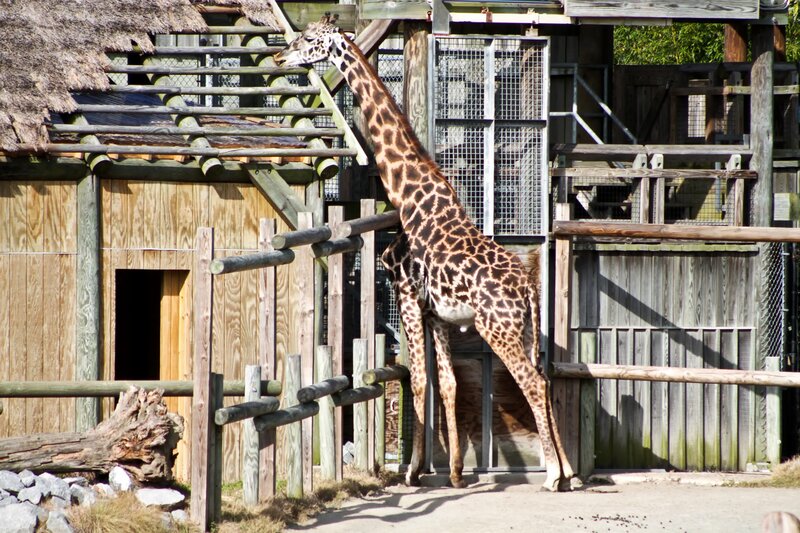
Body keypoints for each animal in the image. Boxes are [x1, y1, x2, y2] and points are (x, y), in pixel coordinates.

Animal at [275, 15, 577, 492]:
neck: (408, 198)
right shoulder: (438, 314)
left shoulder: (407, 299)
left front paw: (413, 471)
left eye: (308, 39)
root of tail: (526, 288)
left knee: (531, 382)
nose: (279, 56)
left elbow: (418, 382)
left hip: (497, 329)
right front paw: (453, 471)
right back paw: (571, 473)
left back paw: (552, 475)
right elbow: (448, 383)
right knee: (545, 380)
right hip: (527, 330)